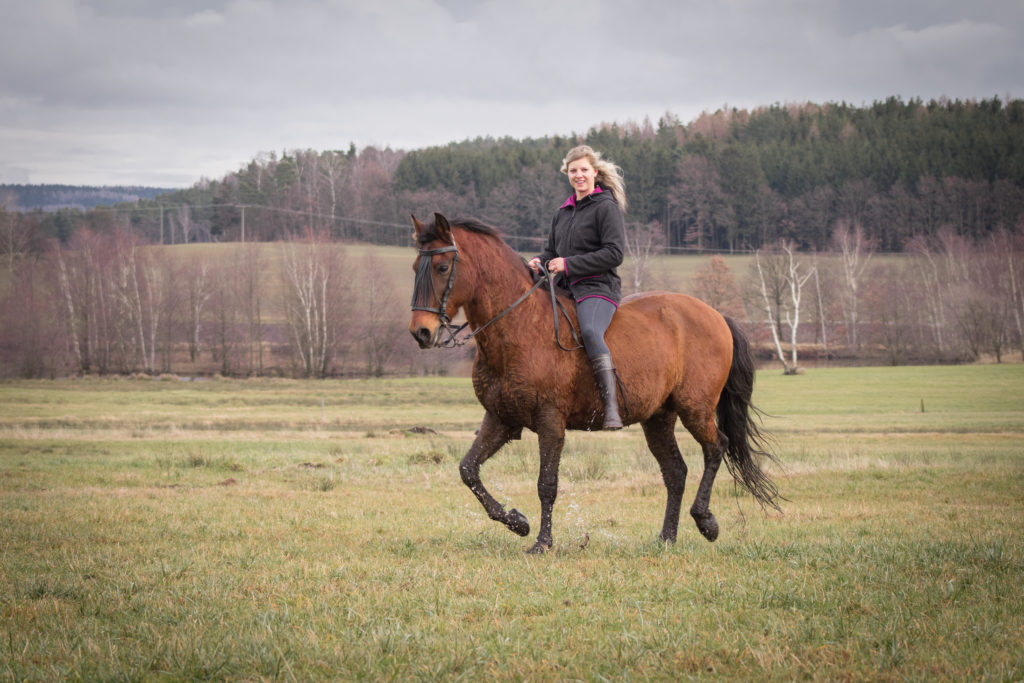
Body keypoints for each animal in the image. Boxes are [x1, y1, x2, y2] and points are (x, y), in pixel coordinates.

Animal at [407, 215, 774, 557]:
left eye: (442, 267)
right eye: (415, 267)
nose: (420, 333)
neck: (519, 325)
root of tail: (716, 315)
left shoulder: (550, 421)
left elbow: (546, 484)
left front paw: (542, 543)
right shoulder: (501, 419)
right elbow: (468, 470)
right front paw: (517, 522)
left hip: (695, 408)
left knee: (716, 447)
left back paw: (706, 521)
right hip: (658, 417)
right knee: (675, 472)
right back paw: (666, 538)